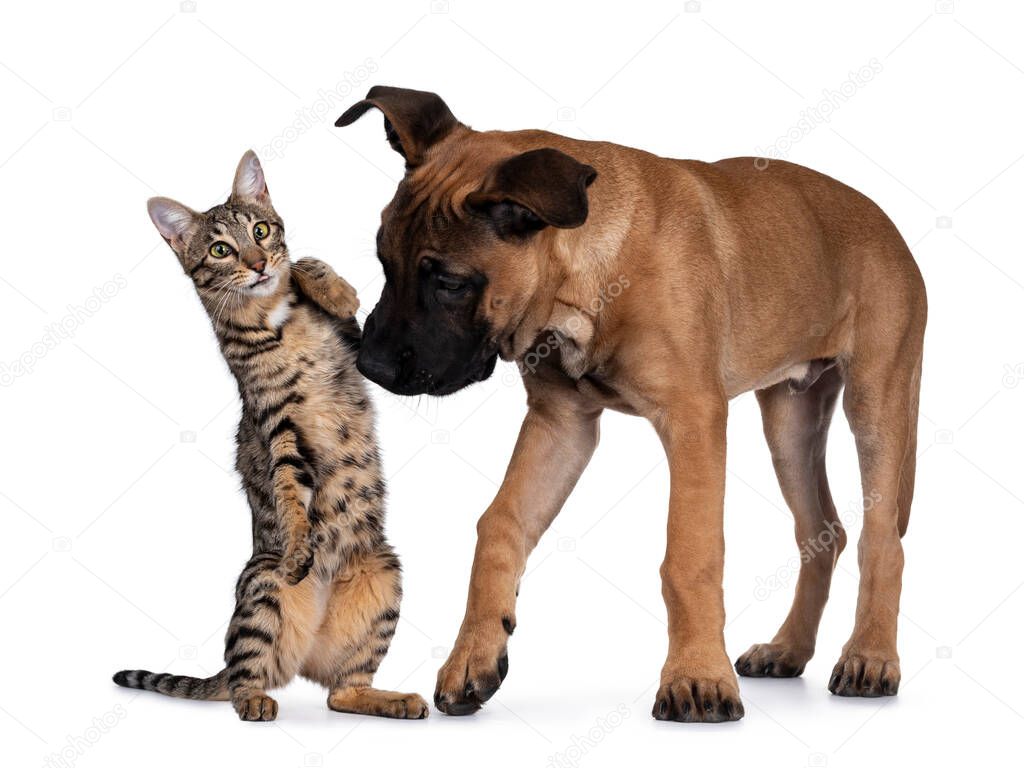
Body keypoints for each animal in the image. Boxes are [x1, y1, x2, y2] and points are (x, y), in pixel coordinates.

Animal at [114, 150, 425, 720]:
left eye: (261, 230)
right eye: (220, 249)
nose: (258, 264)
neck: (273, 316)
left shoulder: (363, 351)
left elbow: (306, 263)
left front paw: (333, 288)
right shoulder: (279, 427)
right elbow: (289, 495)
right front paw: (301, 545)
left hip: (383, 574)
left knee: (342, 692)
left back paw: (391, 699)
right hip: (263, 586)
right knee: (244, 672)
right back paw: (255, 699)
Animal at [335, 87, 929, 724]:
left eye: (449, 282)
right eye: (383, 261)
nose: (370, 367)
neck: (591, 273)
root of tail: (886, 222)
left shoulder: (694, 420)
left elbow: (690, 556)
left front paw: (697, 677)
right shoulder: (561, 425)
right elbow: (499, 524)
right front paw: (475, 653)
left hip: (877, 403)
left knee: (881, 538)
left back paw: (870, 656)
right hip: (791, 421)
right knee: (823, 532)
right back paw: (788, 649)